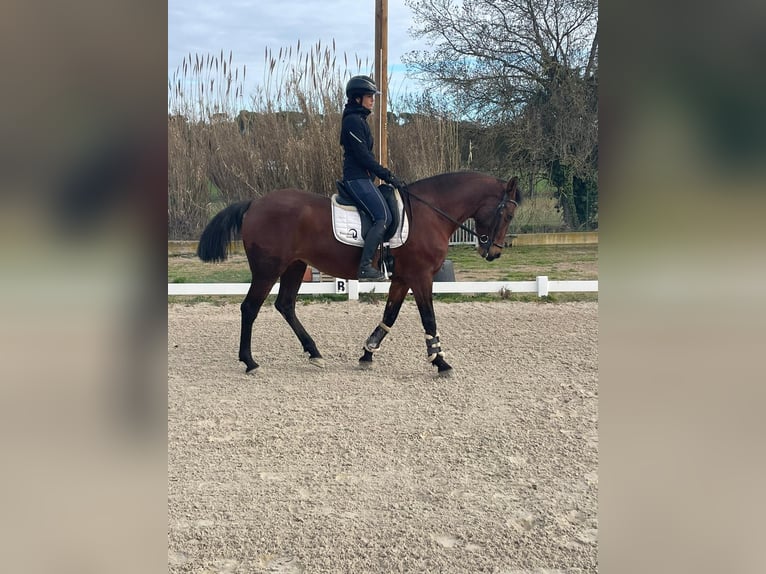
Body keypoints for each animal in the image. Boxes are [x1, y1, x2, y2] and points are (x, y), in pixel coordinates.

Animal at [196, 171, 522, 375]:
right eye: (507, 214)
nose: (493, 253)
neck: (429, 213)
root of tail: (255, 203)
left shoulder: (402, 278)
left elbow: (389, 316)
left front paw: (367, 353)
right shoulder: (421, 277)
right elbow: (428, 318)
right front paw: (440, 362)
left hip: (295, 266)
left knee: (285, 305)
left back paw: (314, 353)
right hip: (268, 269)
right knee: (250, 308)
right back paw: (250, 362)